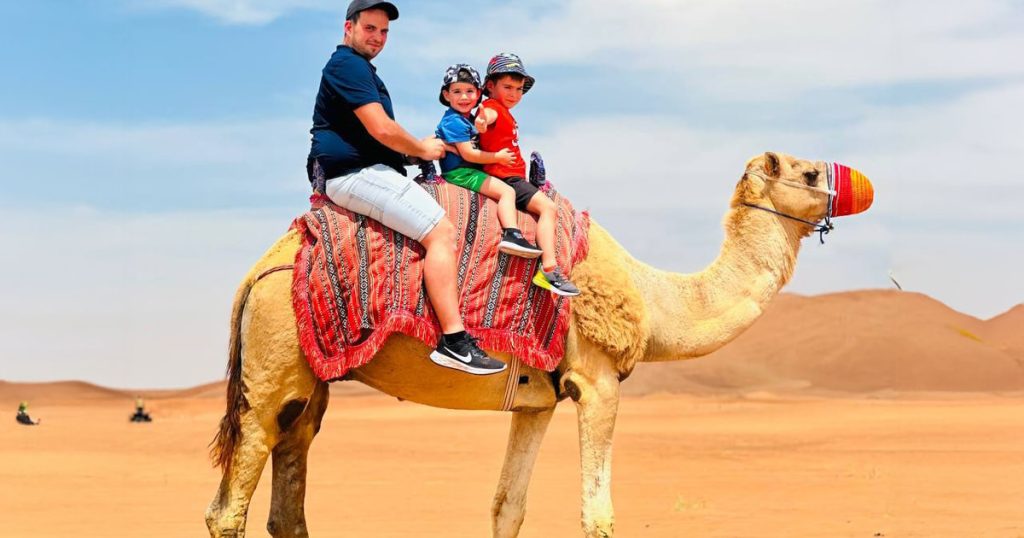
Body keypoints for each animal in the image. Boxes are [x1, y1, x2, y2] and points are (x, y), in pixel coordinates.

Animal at [206, 152, 873, 537]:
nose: (861, 186)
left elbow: (508, 506)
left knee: (288, 495)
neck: (653, 298)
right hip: (272, 365)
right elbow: (598, 514)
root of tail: (257, 272)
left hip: (310, 383)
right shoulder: (597, 381)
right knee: (228, 506)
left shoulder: (537, 400)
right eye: (809, 173)